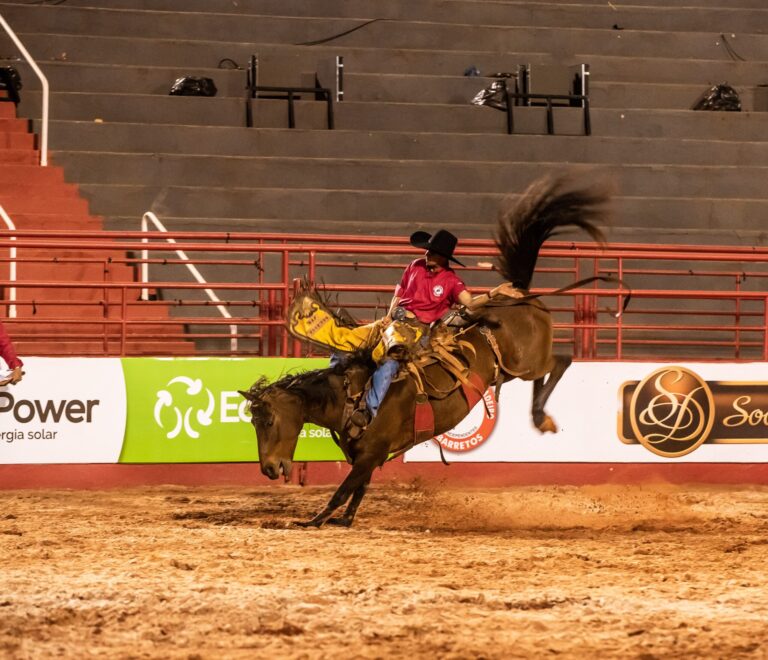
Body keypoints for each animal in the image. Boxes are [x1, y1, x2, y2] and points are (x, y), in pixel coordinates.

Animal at [238, 175, 612, 524]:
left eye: (267, 420)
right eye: (252, 422)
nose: (268, 469)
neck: (347, 395)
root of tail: (517, 292)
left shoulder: (370, 454)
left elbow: (342, 491)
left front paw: (314, 520)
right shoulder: (366, 458)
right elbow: (358, 491)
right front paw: (343, 520)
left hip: (528, 361)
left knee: (561, 361)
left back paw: (540, 416)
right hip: (513, 369)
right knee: (545, 374)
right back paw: (539, 415)